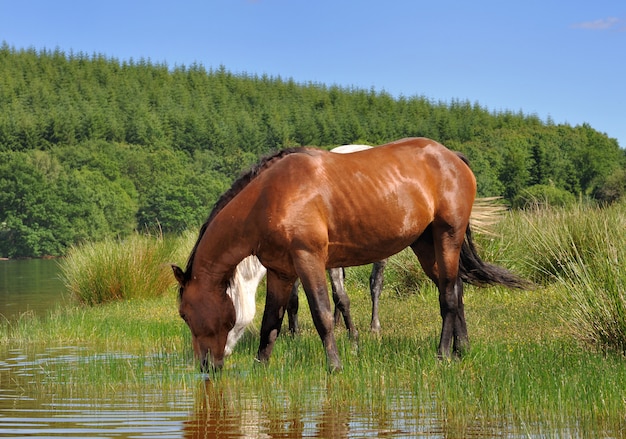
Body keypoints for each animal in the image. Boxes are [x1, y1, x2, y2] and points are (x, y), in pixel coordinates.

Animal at [172, 138, 528, 372]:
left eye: (185, 314)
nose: (206, 366)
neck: (269, 196)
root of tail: (452, 156)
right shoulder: (281, 271)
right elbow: (271, 320)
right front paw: (261, 365)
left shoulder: (309, 260)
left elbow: (323, 314)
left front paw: (335, 365)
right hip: (426, 244)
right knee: (453, 288)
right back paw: (461, 349)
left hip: (447, 236)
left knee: (449, 297)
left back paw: (442, 354)